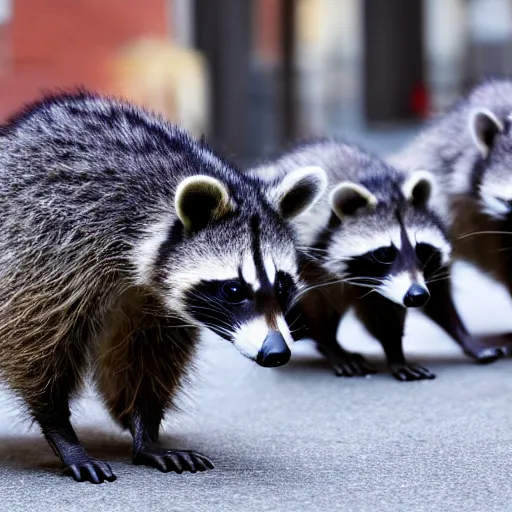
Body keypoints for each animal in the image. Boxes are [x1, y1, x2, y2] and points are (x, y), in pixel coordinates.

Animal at [0, 93, 326, 484]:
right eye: (233, 290)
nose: (276, 352)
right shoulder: (53, 250)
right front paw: (60, 428)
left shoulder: (150, 300)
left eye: (282, 285)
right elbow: (37, 345)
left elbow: (147, 356)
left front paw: (146, 429)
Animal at [249, 139, 504, 380]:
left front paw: (397, 349)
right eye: (384, 253)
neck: (378, 185)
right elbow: (312, 302)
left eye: (421, 250)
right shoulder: (303, 255)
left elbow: (409, 302)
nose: (417, 295)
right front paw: (330, 343)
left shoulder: (400, 279)